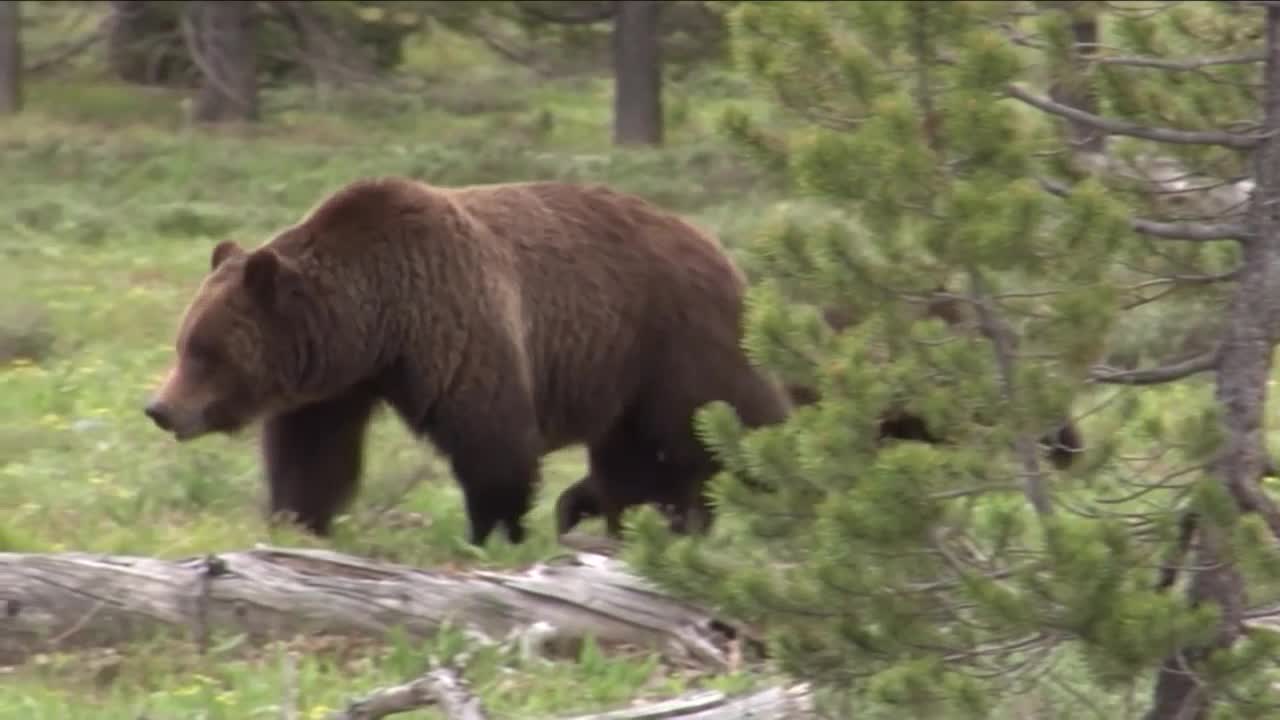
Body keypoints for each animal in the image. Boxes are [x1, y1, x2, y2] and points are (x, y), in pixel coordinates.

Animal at [145, 175, 793, 543]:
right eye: (184, 342)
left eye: (205, 351)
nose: (160, 408)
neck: (377, 317)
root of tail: (718, 247)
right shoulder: (335, 382)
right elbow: (311, 454)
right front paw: (296, 522)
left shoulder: (457, 324)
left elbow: (492, 443)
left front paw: (493, 531)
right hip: (627, 374)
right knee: (634, 460)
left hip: (676, 341)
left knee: (728, 421)